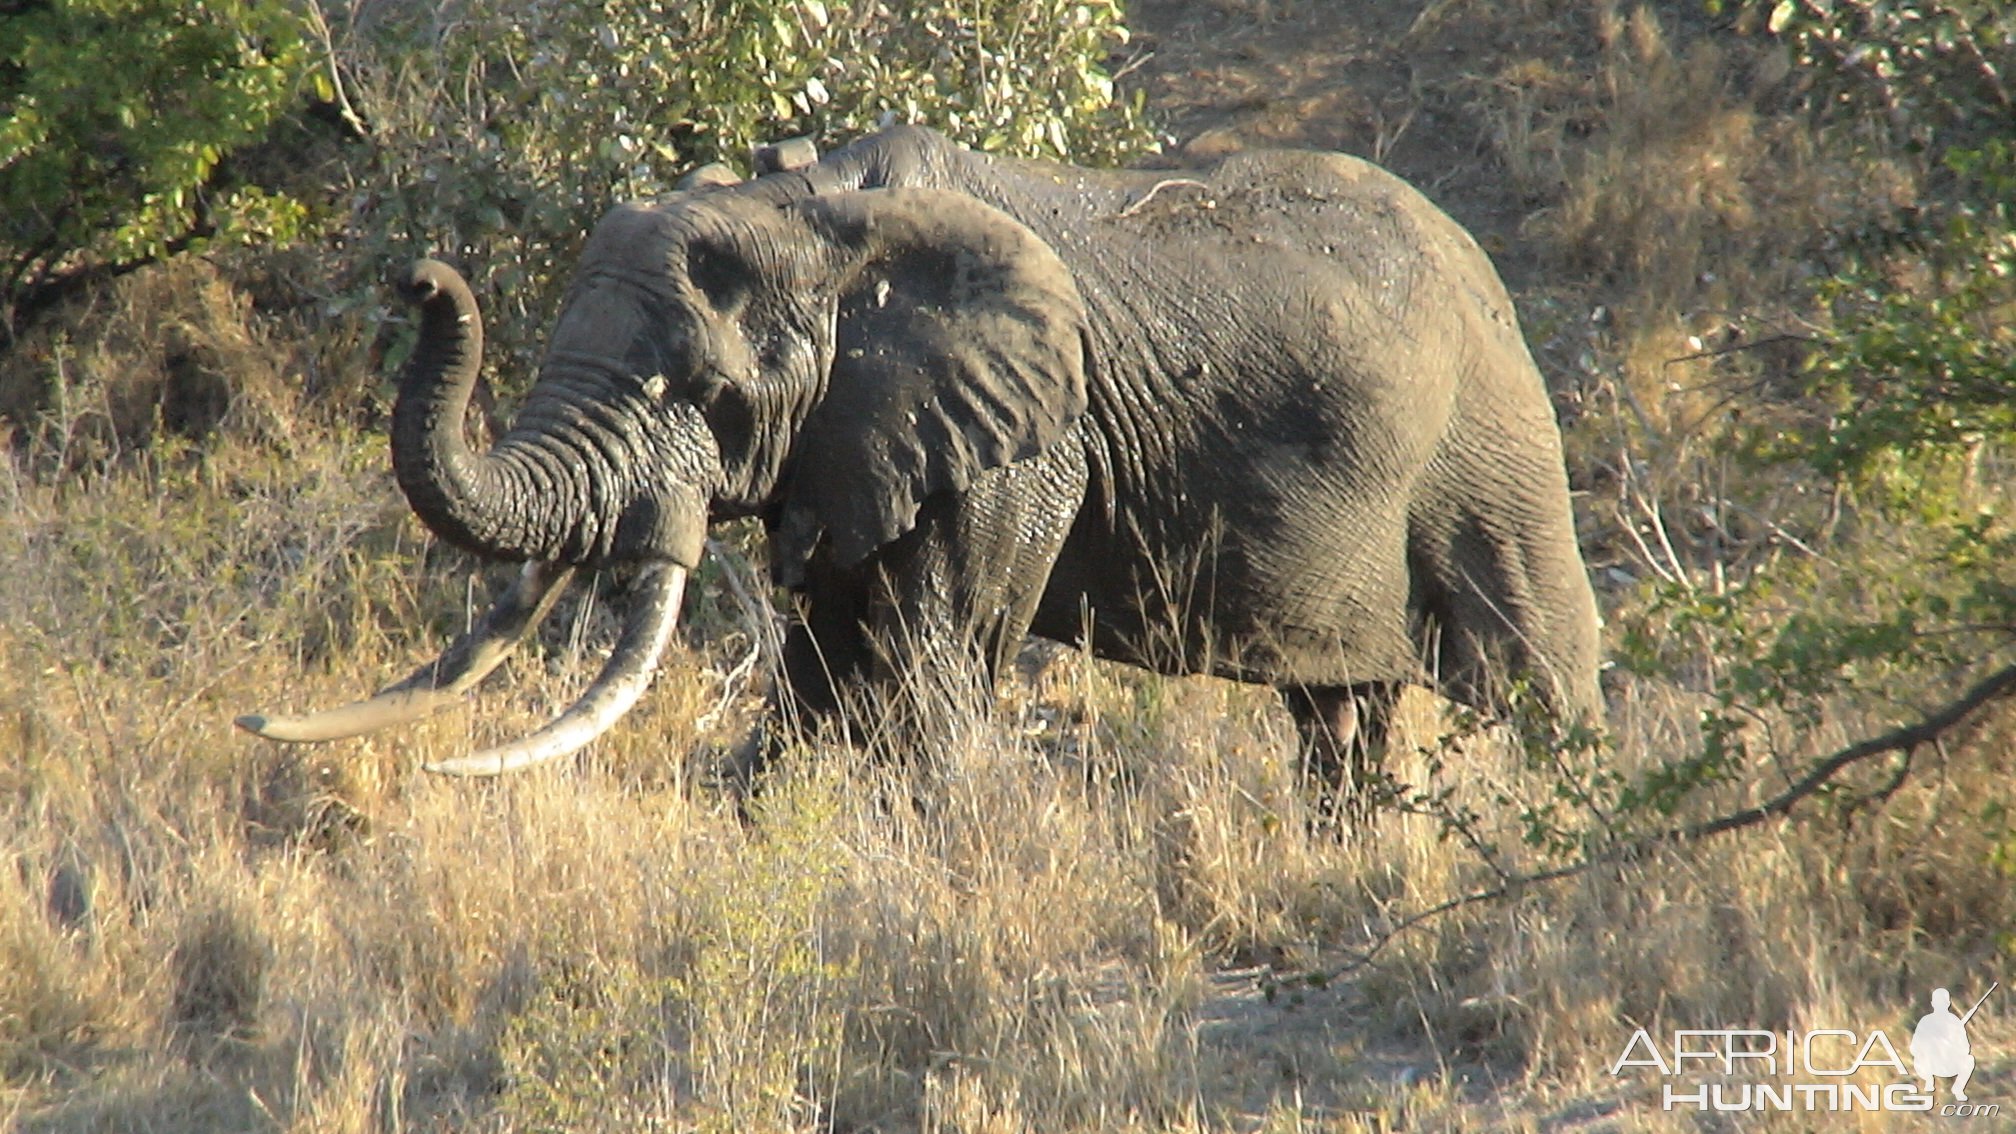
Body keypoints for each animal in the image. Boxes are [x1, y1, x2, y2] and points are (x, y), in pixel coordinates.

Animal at [235, 123, 1596, 795]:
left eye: (703, 391)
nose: (418, 277)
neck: (826, 219)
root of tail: (1481, 265)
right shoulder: (854, 439)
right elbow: (821, 666)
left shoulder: (1024, 441)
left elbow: (932, 659)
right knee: (1344, 710)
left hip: (1493, 441)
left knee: (1533, 667)